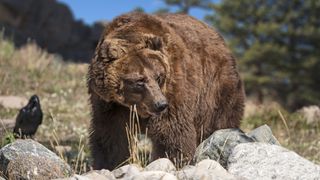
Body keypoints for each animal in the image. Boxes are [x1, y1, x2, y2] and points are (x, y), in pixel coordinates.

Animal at [86, 12, 244, 170]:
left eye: (158, 76)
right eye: (139, 80)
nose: (160, 104)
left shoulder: (174, 86)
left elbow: (170, 130)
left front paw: (172, 160)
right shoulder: (109, 104)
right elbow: (111, 136)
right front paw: (110, 164)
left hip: (216, 87)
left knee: (220, 120)